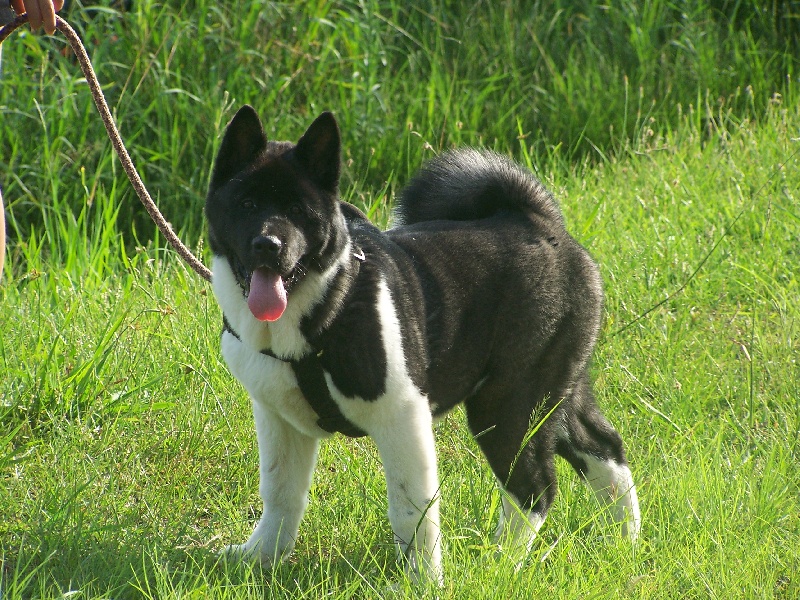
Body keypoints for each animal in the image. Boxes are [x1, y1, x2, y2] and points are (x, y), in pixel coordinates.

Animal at [206, 105, 644, 584]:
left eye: (299, 211)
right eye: (247, 204)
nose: (269, 243)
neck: (321, 306)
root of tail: (537, 220)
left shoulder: (401, 417)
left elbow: (411, 511)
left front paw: (422, 581)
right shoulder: (277, 417)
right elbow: (280, 491)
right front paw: (260, 556)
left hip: (509, 402)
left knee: (534, 487)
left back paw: (498, 564)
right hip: (558, 389)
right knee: (603, 448)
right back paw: (625, 540)